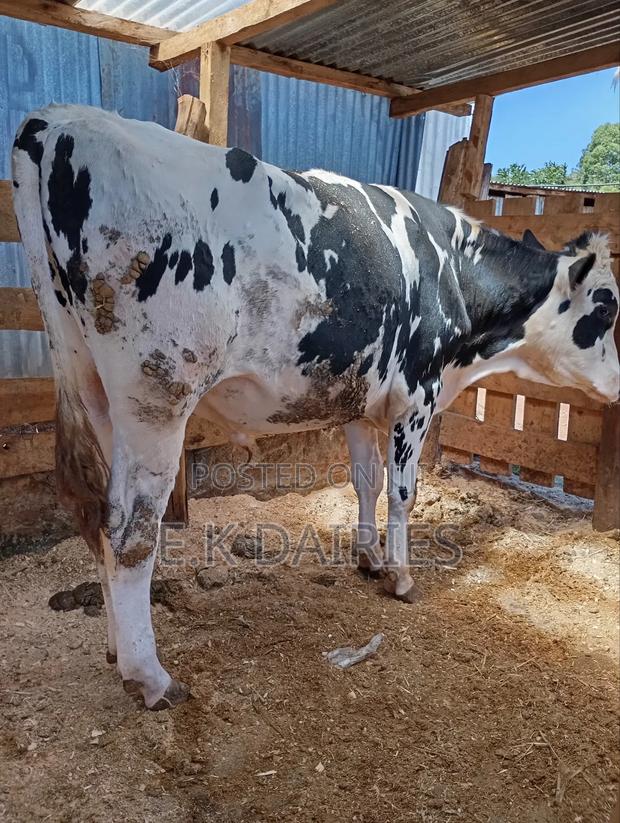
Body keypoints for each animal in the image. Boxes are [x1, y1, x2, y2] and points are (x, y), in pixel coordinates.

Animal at [12, 104, 619, 709]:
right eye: (607, 308)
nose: (617, 382)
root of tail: (57, 121)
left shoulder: (360, 402)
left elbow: (366, 482)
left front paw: (369, 559)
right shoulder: (417, 395)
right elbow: (402, 493)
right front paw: (401, 577)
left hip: (90, 384)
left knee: (97, 513)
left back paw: (116, 650)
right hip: (156, 395)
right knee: (130, 533)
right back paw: (150, 676)